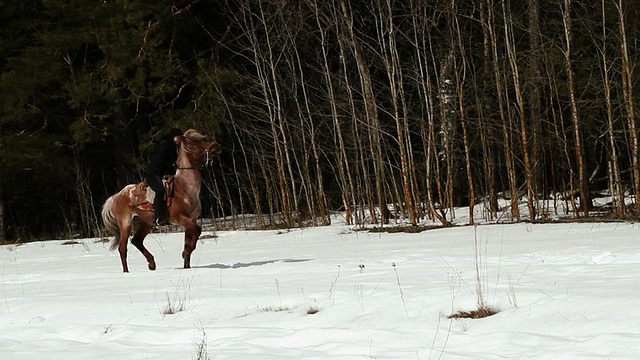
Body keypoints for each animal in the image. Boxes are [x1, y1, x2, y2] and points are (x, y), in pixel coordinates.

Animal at [99, 128, 220, 272]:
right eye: (193, 146)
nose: (214, 147)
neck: (185, 188)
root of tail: (117, 196)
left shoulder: (191, 219)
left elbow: (191, 240)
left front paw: (186, 264)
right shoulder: (179, 218)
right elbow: (197, 231)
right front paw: (185, 253)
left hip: (145, 223)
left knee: (136, 241)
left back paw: (151, 264)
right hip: (125, 224)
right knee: (123, 249)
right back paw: (127, 272)